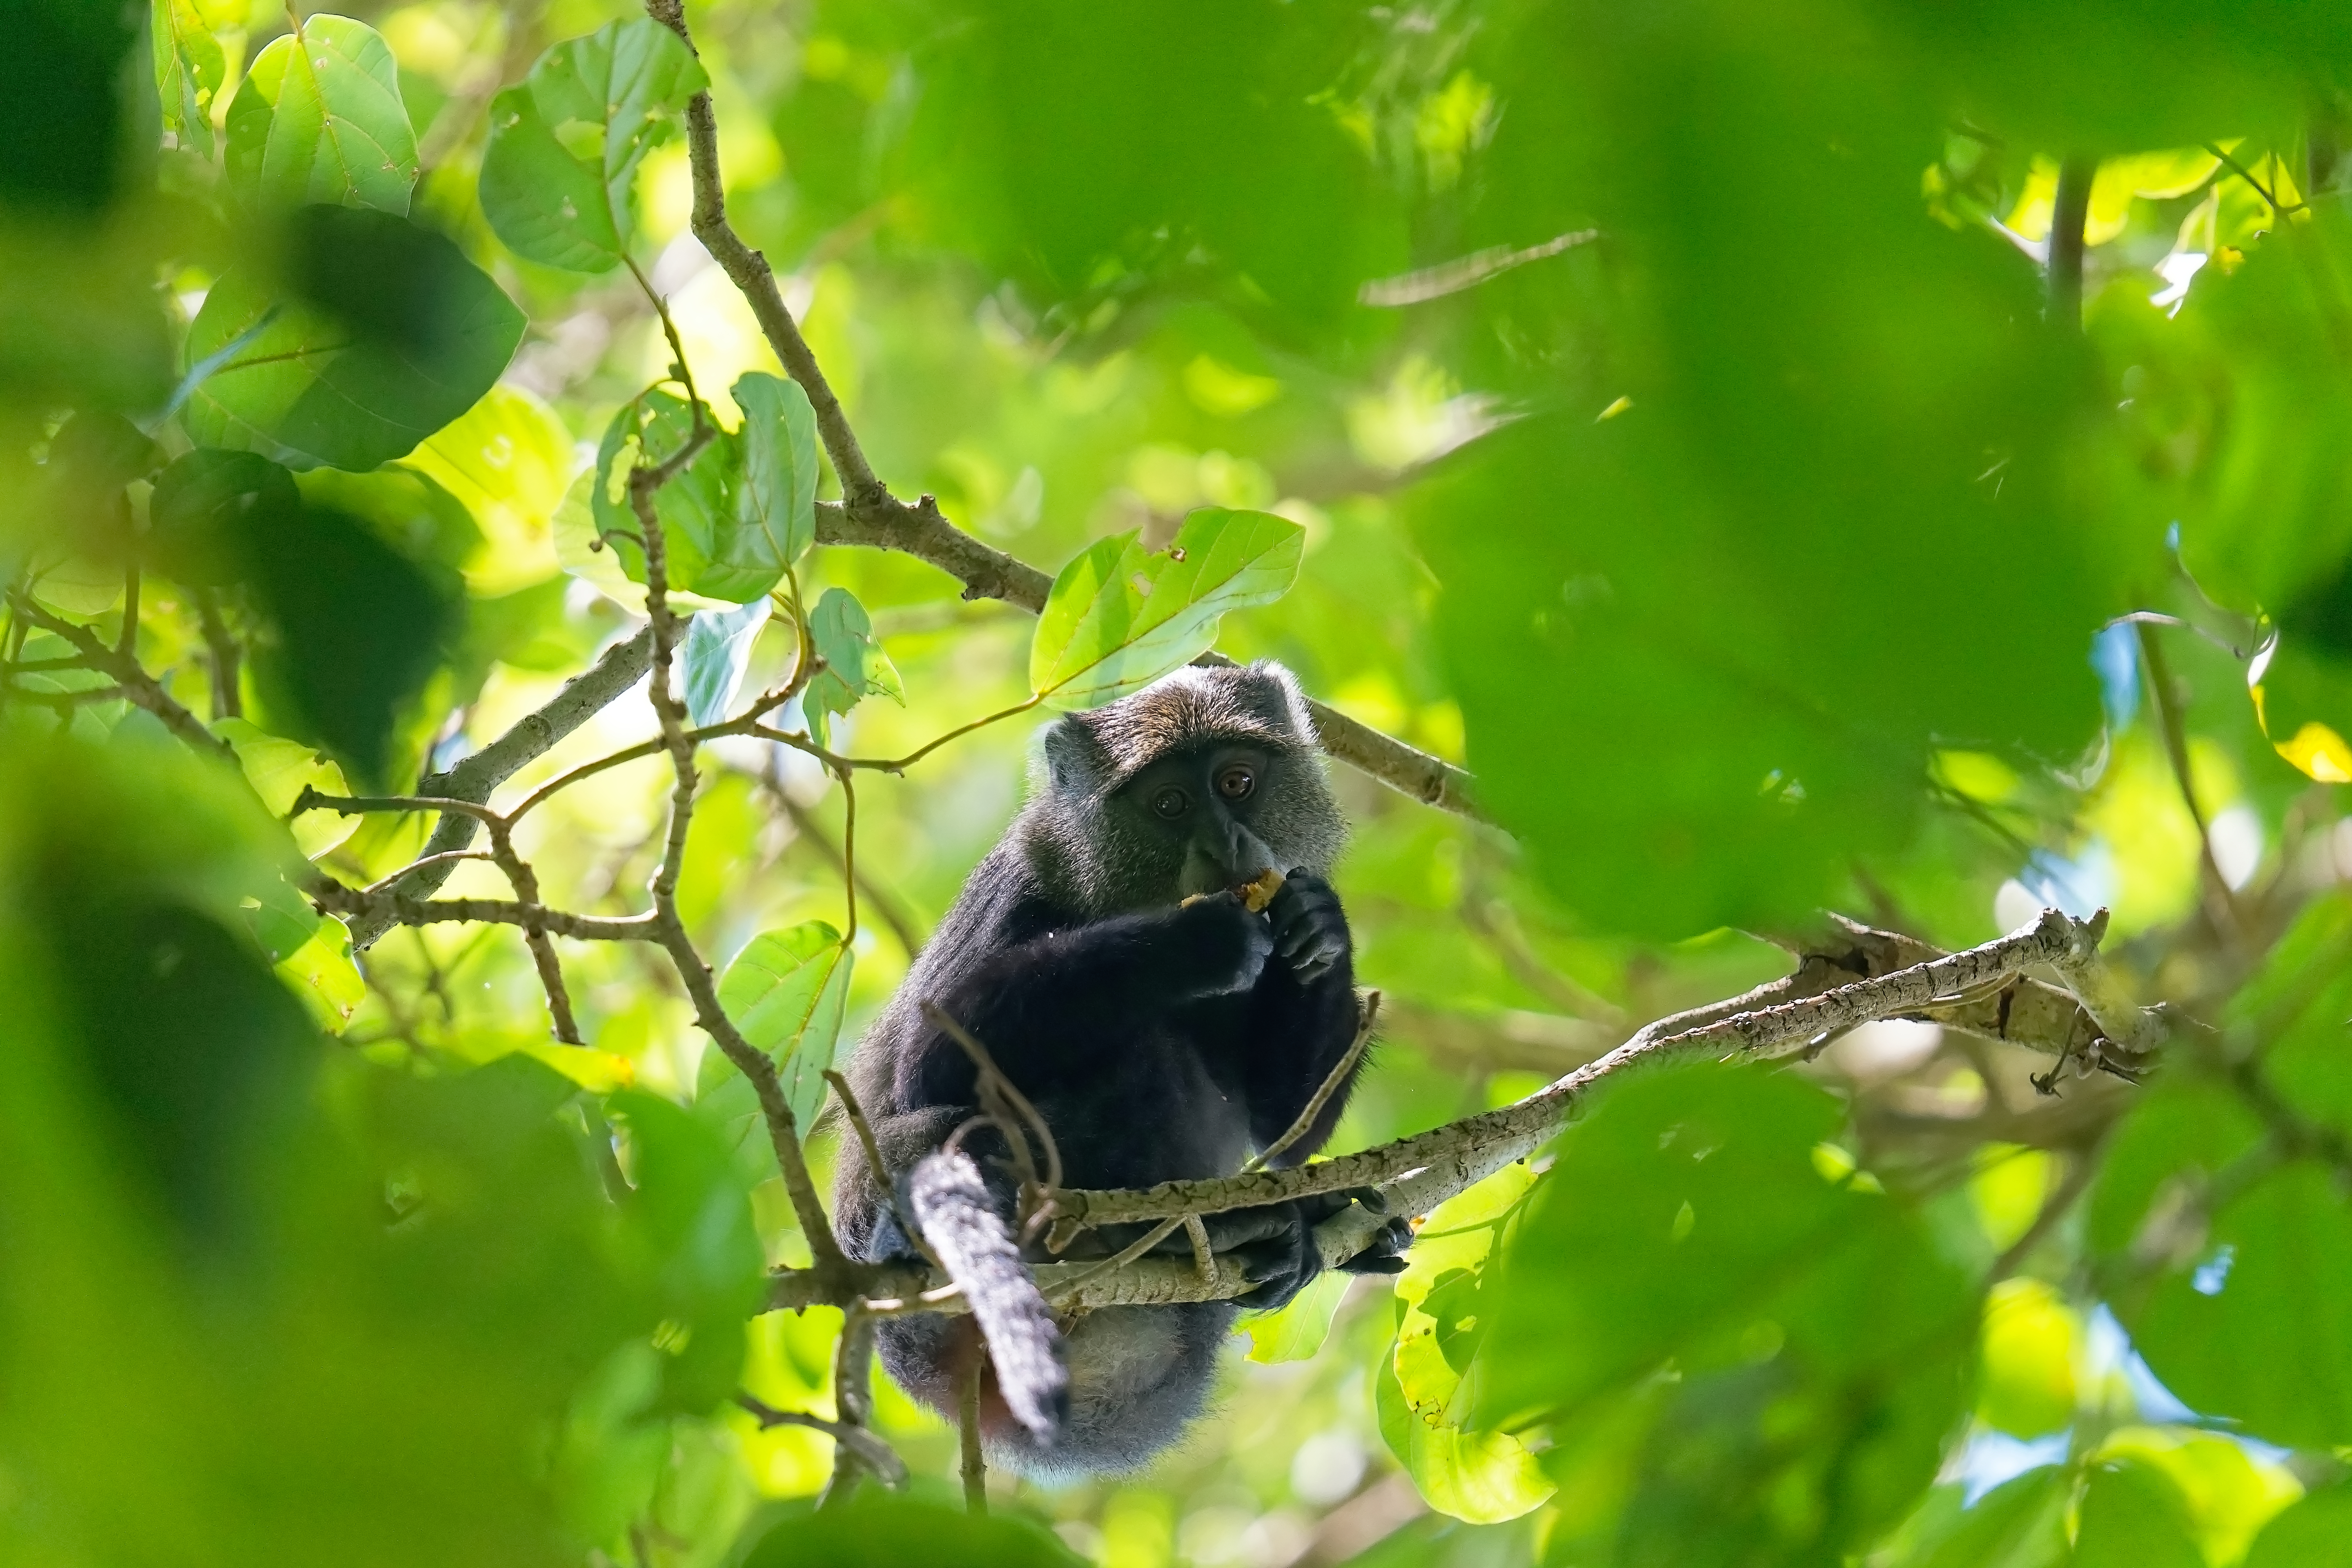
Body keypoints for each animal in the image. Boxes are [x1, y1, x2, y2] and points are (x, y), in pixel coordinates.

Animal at [832, 661, 1408, 1477]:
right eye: (1169, 803)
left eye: (1236, 782)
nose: (1228, 842)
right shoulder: (1019, 889)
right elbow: (928, 1065)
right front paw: (1194, 943)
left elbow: (1282, 1119)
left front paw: (1320, 925)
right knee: (1136, 1050)